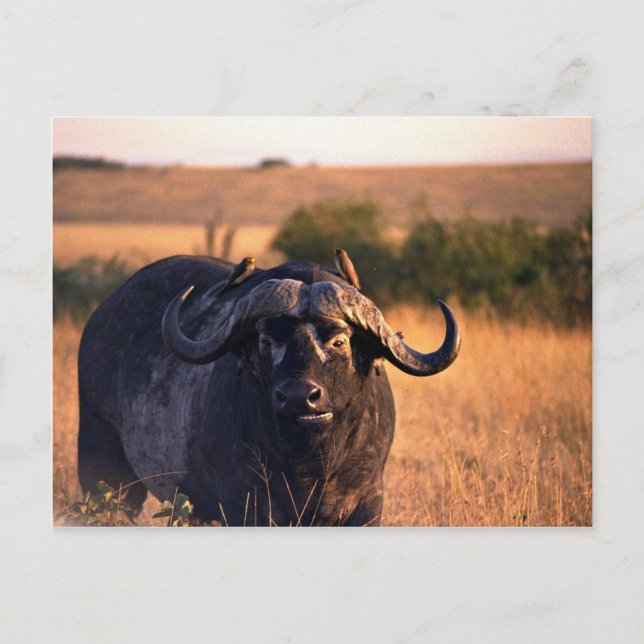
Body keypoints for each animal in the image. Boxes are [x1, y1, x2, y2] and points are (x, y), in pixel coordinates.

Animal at [77, 256, 460, 526]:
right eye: (266, 341)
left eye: (339, 341)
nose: (298, 396)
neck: (309, 465)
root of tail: (101, 317)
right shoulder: (243, 506)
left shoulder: (366, 503)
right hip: (104, 468)